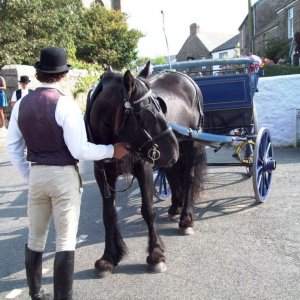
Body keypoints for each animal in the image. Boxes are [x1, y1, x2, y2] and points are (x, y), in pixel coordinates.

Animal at [85, 62, 206, 278]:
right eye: (145, 114)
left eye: (161, 106)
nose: (173, 150)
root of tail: (185, 77)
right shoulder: (102, 174)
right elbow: (109, 215)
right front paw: (108, 257)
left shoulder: (145, 168)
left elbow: (148, 210)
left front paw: (155, 255)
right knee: (173, 175)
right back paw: (175, 207)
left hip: (191, 143)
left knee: (188, 177)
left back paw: (186, 218)